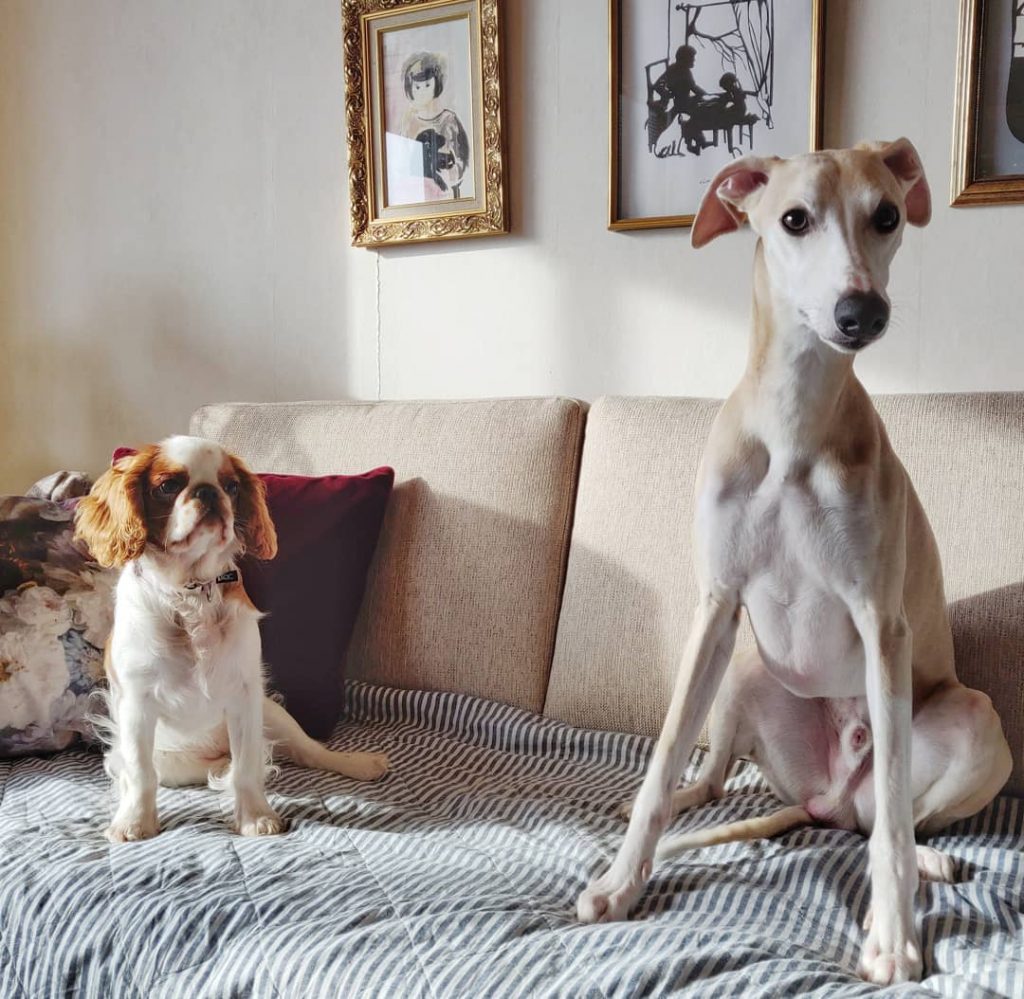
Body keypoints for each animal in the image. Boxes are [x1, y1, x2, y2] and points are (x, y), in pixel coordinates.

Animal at [74, 438, 387, 843]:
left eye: (232, 486)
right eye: (168, 486)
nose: (209, 492)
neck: (192, 588)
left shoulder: (245, 695)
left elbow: (249, 765)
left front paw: (255, 816)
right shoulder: (136, 704)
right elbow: (142, 775)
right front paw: (134, 822)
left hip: (274, 714)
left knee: (309, 751)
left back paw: (359, 764)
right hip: (167, 759)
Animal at [581, 138, 1011, 982]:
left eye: (886, 215)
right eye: (793, 219)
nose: (861, 313)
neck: (793, 422)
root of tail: (826, 796)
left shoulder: (882, 623)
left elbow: (894, 826)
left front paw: (893, 937)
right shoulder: (716, 606)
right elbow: (663, 758)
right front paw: (619, 882)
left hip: (974, 720)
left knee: (895, 820)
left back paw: (928, 864)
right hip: (745, 669)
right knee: (716, 774)